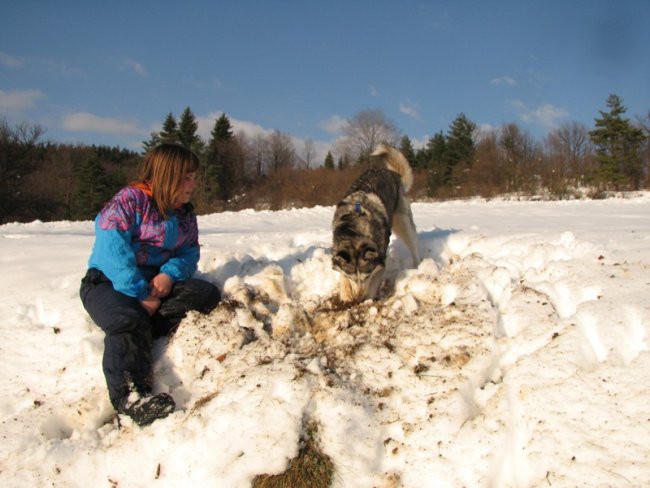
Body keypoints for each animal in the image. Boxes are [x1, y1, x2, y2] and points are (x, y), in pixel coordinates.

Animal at [330, 141, 420, 304]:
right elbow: (342, 276)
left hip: (403, 223)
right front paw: (345, 295)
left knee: (413, 244)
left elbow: (373, 285)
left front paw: (367, 301)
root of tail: (392, 173)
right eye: (351, 277)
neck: (356, 229)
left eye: (366, 277)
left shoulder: (380, 261)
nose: (358, 298)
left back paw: (417, 267)